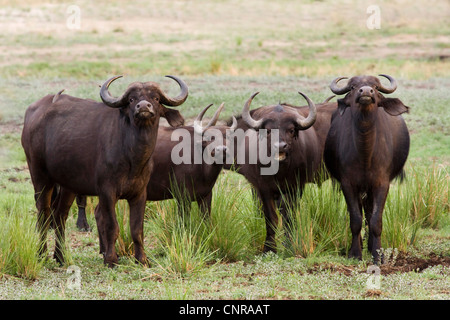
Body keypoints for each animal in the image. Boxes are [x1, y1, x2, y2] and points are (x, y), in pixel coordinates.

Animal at [22, 74, 187, 266]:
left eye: (156, 98)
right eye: (132, 99)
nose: (144, 107)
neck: (132, 157)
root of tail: (33, 113)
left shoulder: (140, 193)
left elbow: (137, 229)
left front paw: (142, 259)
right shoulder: (107, 192)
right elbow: (111, 226)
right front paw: (111, 259)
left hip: (68, 185)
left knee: (60, 215)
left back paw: (61, 256)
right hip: (40, 175)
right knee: (43, 213)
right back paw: (41, 254)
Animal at [227, 92, 336, 252]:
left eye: (291, 130)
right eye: (268, 130)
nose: (280, 146)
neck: (279, 172)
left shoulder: (295, 187)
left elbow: (289, 216)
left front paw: (289, 245)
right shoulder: (262, 188)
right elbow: (270, 217)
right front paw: (269, 248)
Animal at [324, 74, 412, 262]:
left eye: (376, 87)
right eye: (352, 87)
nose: (365, 92)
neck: (365, 152)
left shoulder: (382, 183)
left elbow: (376, 220)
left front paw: (377, 254)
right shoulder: (348, 184)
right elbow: (355, 219)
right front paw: (355, 252)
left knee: (370, 212)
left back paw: (371, 245)